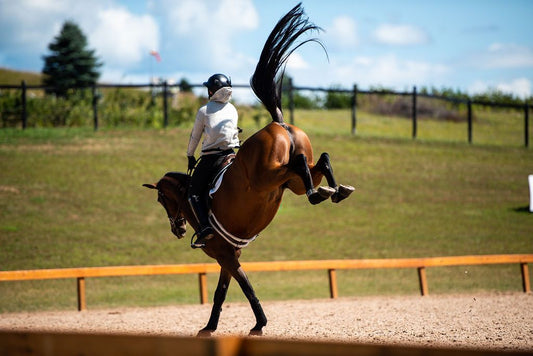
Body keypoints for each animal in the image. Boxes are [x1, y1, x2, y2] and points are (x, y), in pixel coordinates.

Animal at [143, 3, 356, 336]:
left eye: (161, 199)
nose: (177, 229)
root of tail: (278, 122)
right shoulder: (229, 255)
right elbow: (222, 292)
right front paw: (212, 327)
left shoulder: (224, 254)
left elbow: (244, 287)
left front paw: (258, 323)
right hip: (292, 182)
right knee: (318, 161)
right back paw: (334, 190)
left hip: (270, 177)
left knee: (299, 165)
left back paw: (320, 193)